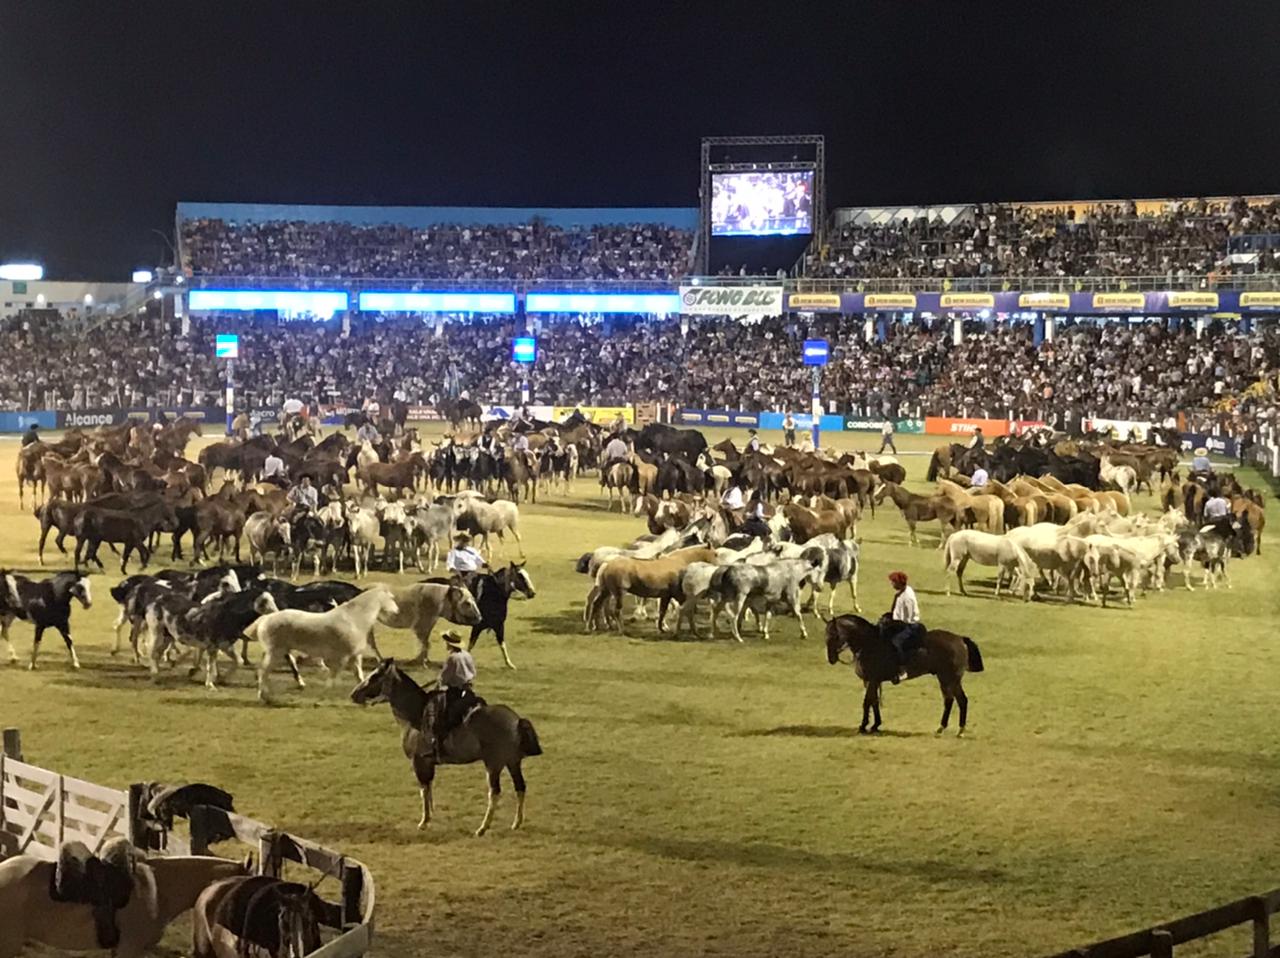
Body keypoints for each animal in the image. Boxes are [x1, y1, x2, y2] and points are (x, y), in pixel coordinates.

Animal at [824, 614, 983, 732]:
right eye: (826, 635)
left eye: (835, 635)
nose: (831, 658)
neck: (870, 643)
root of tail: (960, 639)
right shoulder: (873, 681)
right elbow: (874, 701)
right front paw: (875, 725)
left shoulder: (873, 680)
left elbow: (867, 701)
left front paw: (863, 726)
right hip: (945, 678)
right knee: (952, 700)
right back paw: (945, 728)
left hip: (950, 678)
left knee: (959, 700)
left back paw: (958, 730)